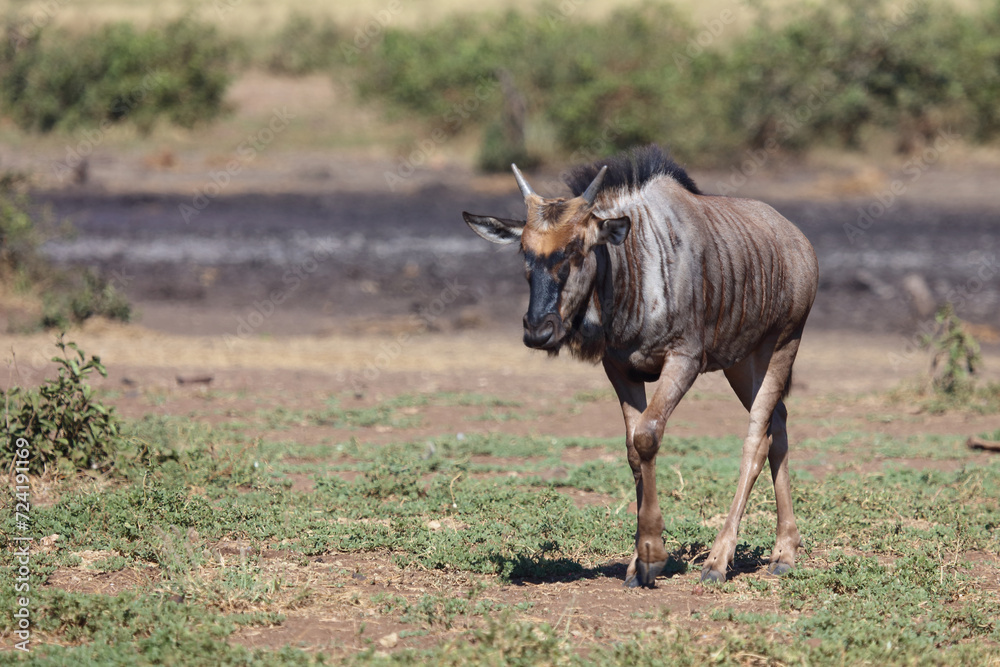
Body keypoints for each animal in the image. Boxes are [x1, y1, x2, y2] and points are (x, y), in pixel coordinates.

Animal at [462, 145, 818, 587]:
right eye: (524, 252)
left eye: (578, 248)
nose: (538, 330)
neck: (633, 270)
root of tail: (797, 240)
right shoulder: (620, 369)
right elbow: (634, 449)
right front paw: (638, 561)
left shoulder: (684, 360)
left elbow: (648, 436)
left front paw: (652, 553)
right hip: (742, 363)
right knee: (778, 424)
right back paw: (784, 550)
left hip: (783, 345)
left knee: (757, 439)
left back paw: (719, 560)